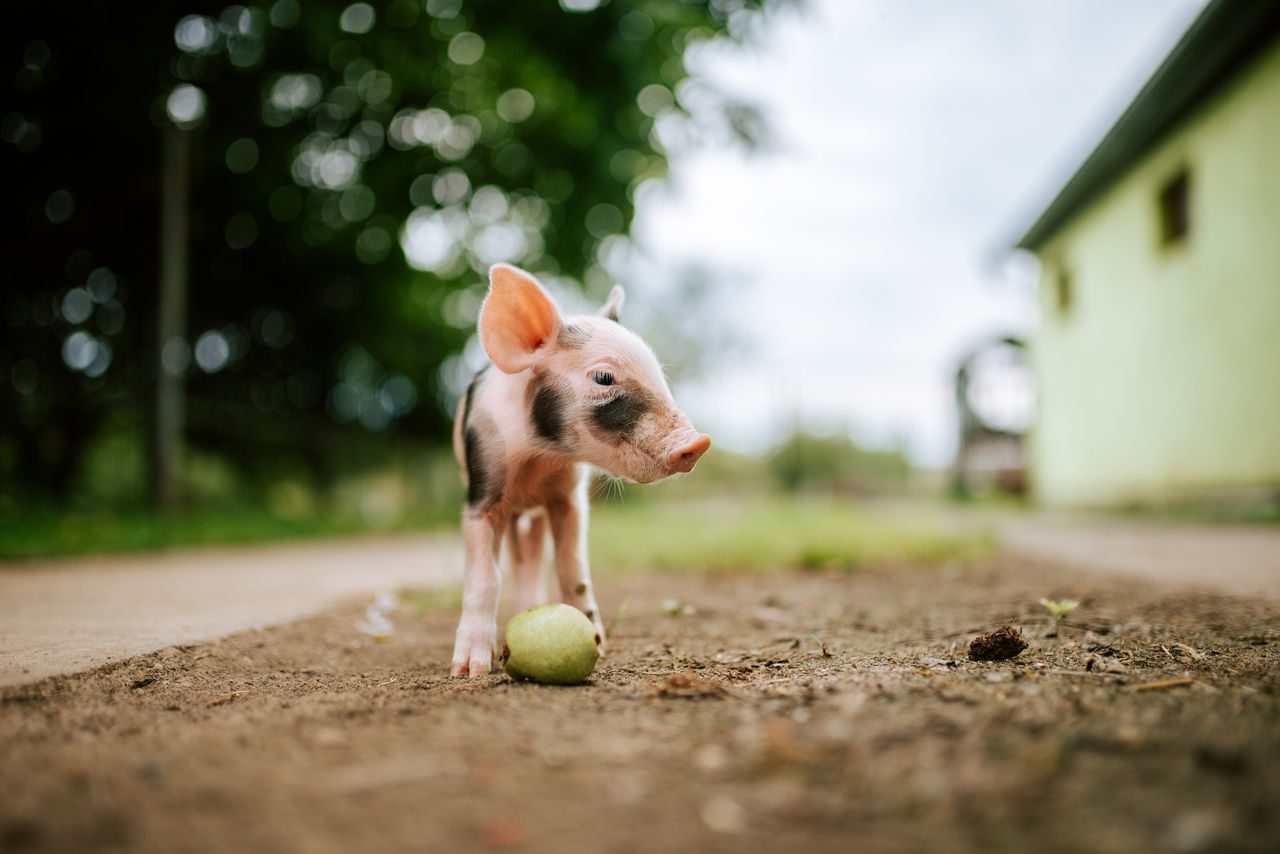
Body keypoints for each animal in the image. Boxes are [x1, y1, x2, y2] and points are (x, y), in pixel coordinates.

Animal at [449, 264, 712, 677]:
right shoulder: (483, 490)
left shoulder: (568, 497)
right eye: (603, 378)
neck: (541, 456)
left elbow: (572, 568)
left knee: (532, 559)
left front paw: (599, 644)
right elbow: (483, 575)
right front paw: (470, 670)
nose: (698, 443)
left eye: (659, 375)